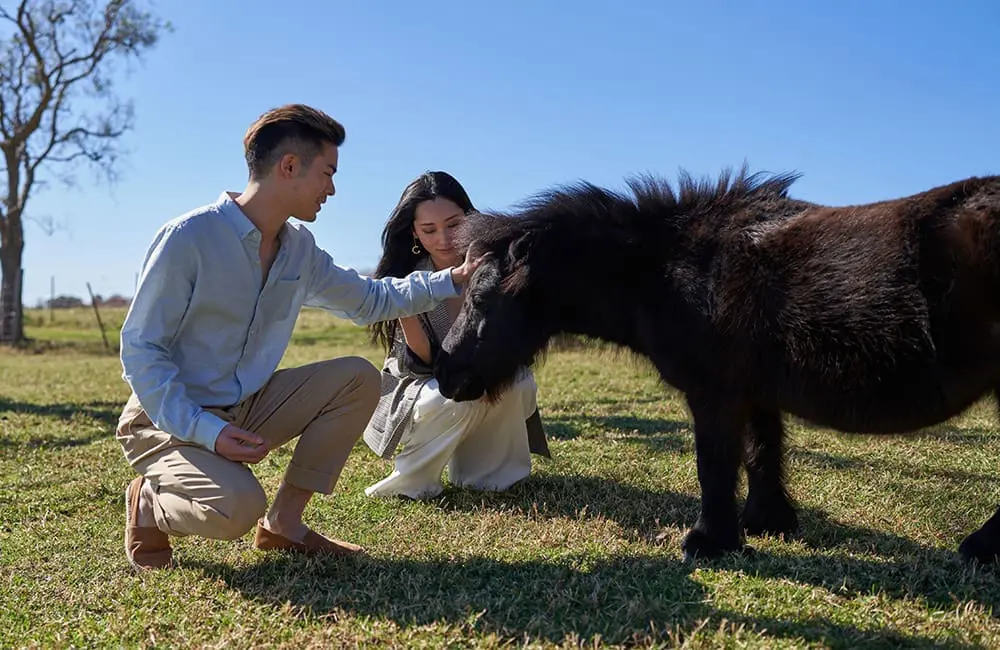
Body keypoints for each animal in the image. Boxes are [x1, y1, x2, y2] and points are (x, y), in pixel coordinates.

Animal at [432, 164, 1000, 563]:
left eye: (479, 299)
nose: (446, 375)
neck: (673, 270)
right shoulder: (756, 393)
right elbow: (761, 453)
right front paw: (767, 522)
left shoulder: (715, 395)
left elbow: (715, 462)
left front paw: (710, 541)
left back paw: (979, 549)